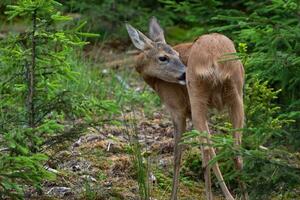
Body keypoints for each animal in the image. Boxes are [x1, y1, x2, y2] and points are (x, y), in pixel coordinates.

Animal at [125, 17, 247, 200]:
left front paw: (173, 195)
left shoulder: (177, 108)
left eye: (175, 54)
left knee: (206, 151)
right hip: (237, 94)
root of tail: (214, 58)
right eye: (163, 57)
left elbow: (177, 156)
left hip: (197, 96)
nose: (183, 74)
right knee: (234, 149)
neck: (154, 81)